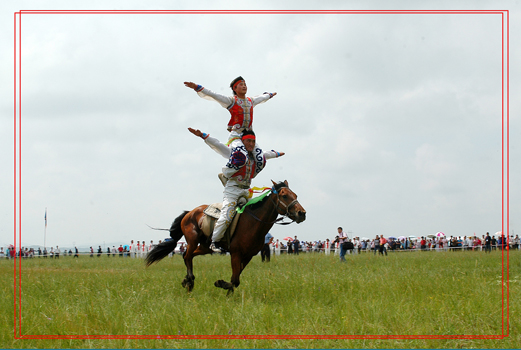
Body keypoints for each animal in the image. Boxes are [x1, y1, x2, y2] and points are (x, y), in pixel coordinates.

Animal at [144, 180, 304, 296]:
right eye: (284, 195)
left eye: (296, 195)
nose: (302, 213)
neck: (253, 222)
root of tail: (189, 213)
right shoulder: (236, 253)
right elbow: (235, 279)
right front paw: (221, 284)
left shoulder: (248, 256)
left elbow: (236, 278)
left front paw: (228, 292)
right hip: (192, 240)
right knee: (187, 256)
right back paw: (189, 281)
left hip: (205, 247)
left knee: (187, 255)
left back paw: (186, 281)